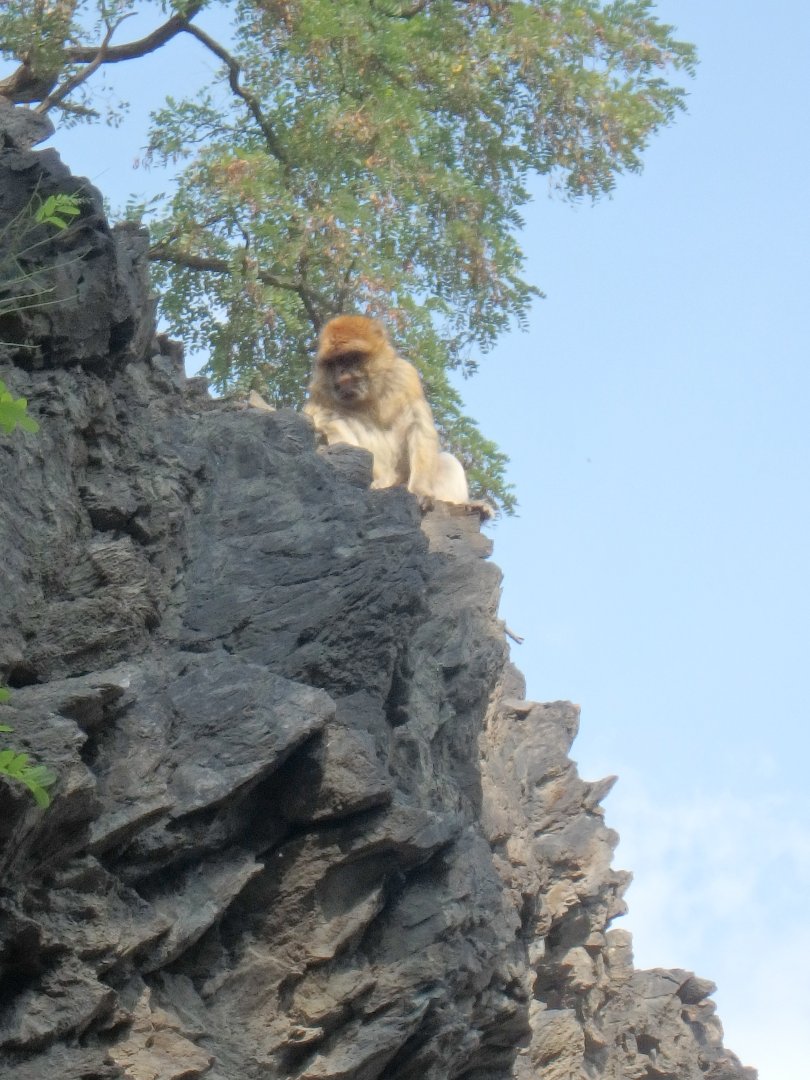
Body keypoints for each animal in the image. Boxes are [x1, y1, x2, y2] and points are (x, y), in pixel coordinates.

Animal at [304, 315, 481, 511]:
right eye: (333, 363)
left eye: (350, 358)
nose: (341, 371)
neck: (369, 394)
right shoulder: (320, 390)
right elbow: (323, 419)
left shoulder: (405, 375)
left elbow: (418, 425)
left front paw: (419, 490)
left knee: (447, 461)